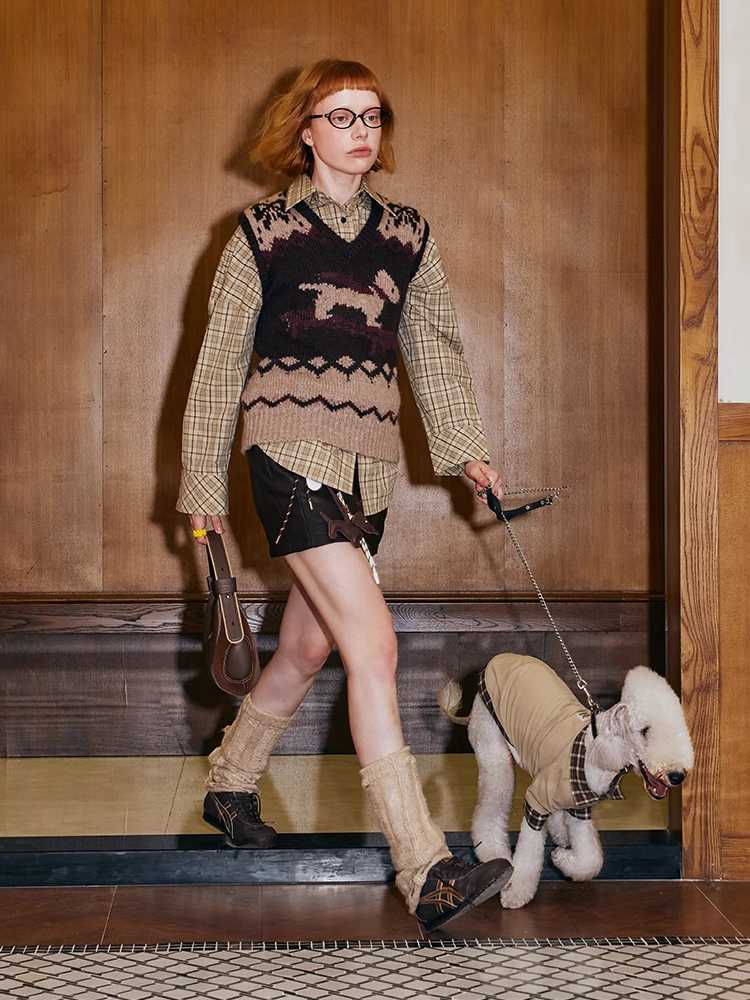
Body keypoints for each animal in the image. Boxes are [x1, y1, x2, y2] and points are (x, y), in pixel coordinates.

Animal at [438, 652, 694, 909]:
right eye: (644, 730)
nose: (677, 775)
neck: (595, 751)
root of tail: (498, 659)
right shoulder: (536, 803)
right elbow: (529, 851)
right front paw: (515, 892)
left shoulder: (579, 808)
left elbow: (590, 859)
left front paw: (561, 857)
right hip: (493, 752)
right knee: (490, 811)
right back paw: (495, 855)